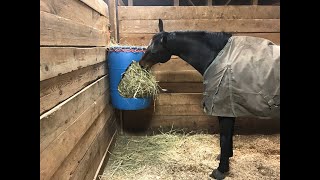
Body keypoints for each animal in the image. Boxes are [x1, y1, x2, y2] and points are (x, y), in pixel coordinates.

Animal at [139, 18, 278, 179]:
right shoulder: (229, 108)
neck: (218, 57)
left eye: (154, 50)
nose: (141, 64)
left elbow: (224, 138)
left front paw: (221, 170)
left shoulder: (224, 108)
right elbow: (227, 136)